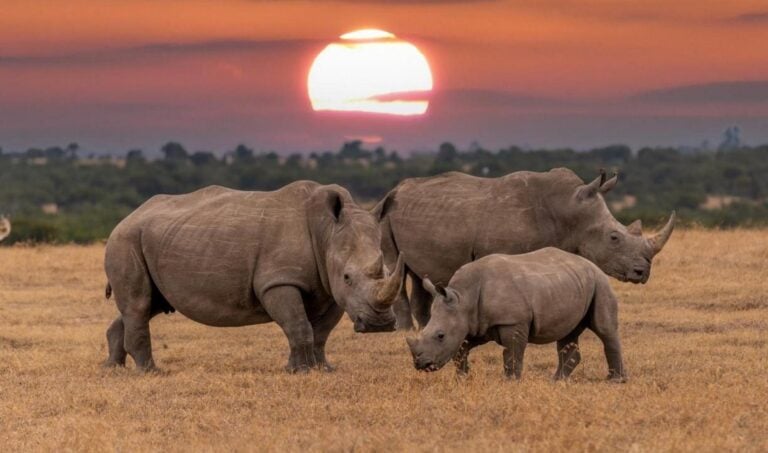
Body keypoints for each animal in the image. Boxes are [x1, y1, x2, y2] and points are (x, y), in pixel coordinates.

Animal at [104, 182, 404, 372]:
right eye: (347, 277)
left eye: (389, 271)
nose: (380, 325)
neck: (327, 232)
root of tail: (128, 216)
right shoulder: (278, 280)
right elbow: (298, 325)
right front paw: (301, 371)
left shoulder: (329, 289)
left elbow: (321, 333)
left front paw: (322, 369)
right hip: (125, 239)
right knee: (139, 304)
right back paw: (150, 372)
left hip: (154, 239)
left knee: (148, 305)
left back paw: (113, 369)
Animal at [376, 167, 676, 328]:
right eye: (614, 238)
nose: (642, 273)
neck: (569, 210)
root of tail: (395, 189)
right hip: (385, 214)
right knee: (396, 266)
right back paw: (405, 330)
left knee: (420, 272)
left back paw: (426, 326)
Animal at [404, 247, 628, 382]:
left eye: (440, 336)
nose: (421, 365)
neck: (463, 297)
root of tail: (591, 263)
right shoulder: (474, 324)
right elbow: (461, 351)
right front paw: (463, 379)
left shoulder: (512, 321)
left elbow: (512, 354)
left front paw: (511, 382)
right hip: (572, 283)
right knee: (568, 333)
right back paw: (556, 381)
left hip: (599, 282)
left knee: (605, 330)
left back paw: (615, 381)